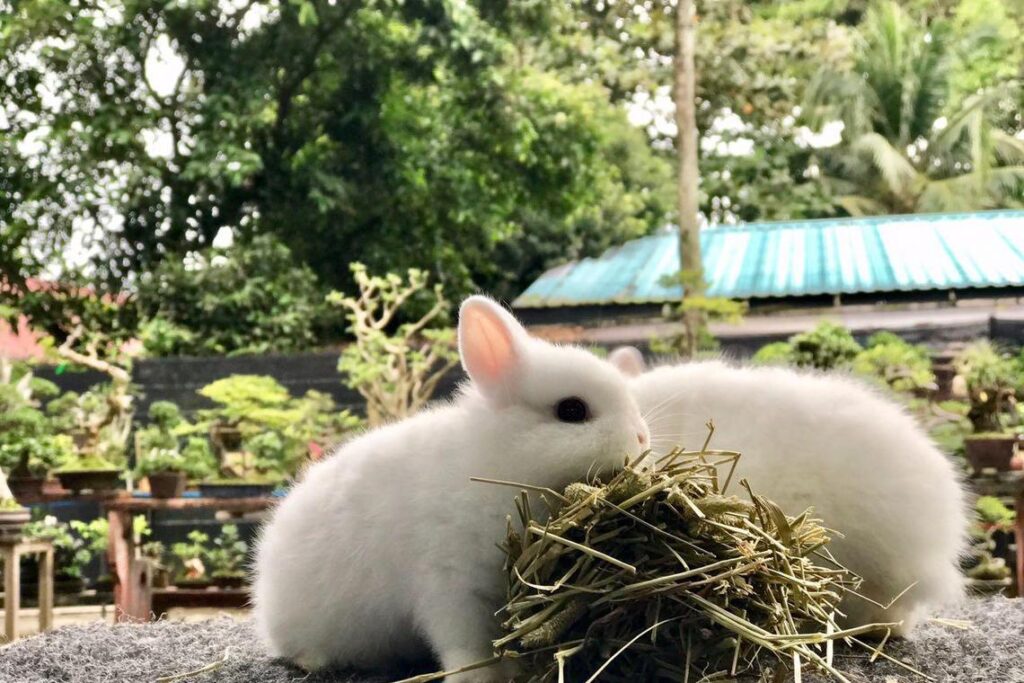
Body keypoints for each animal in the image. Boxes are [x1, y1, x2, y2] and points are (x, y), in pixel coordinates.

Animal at [252, 296, 650, 680]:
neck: (497, 459)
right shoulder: (450, 586)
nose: (642, 437)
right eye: (571, 410)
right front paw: (478, 677)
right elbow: (465, 645)